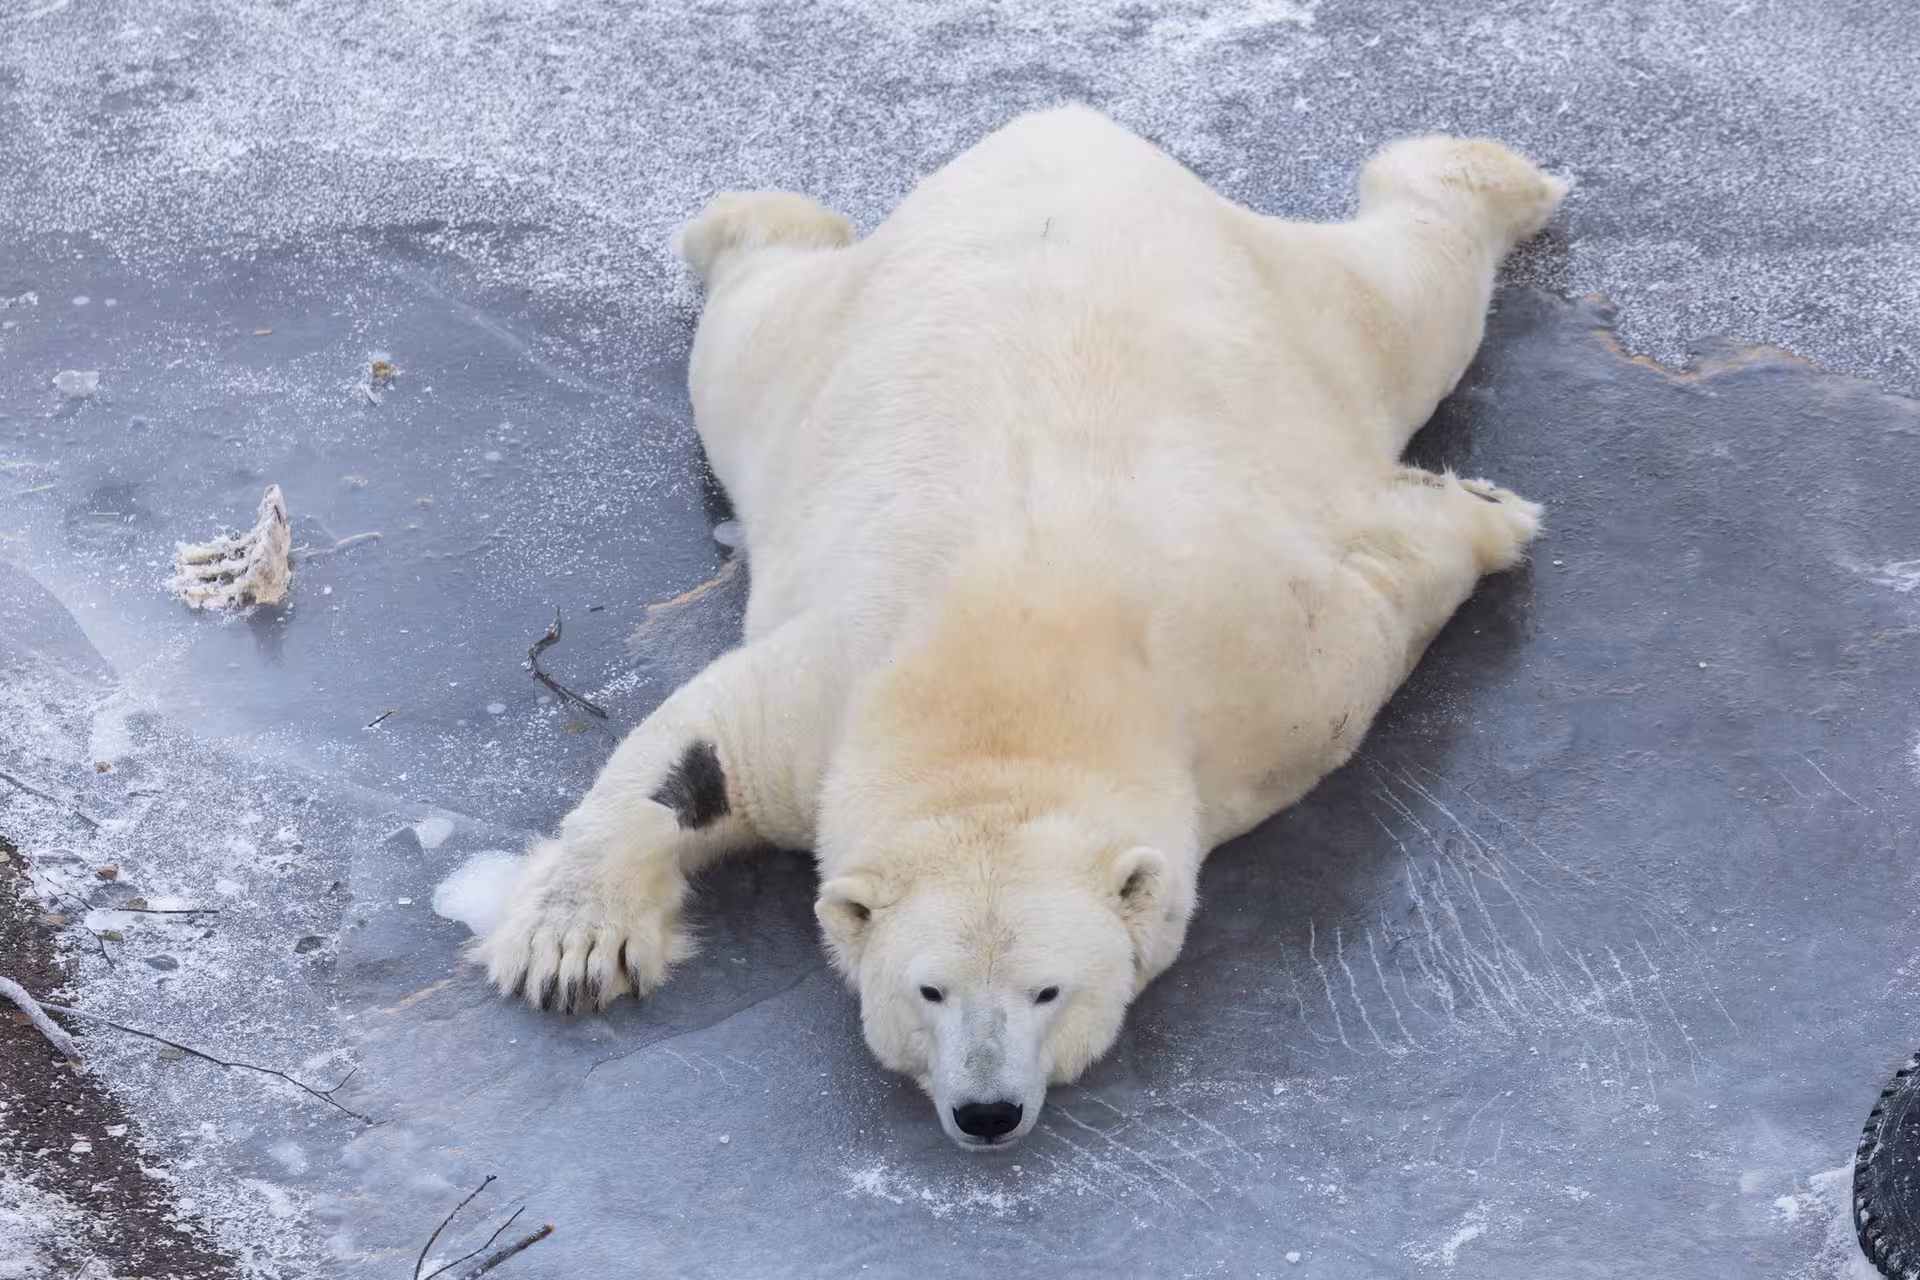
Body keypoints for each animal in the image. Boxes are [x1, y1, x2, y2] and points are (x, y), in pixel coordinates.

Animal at [474, 106, 1561, 1149]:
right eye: (930, 989)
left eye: (1048, 990)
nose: (987, 1110)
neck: (1009, 670)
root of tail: (1065, 132)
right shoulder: (833, 698)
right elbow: (699, 752)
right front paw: (572, 950)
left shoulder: (1285, 684)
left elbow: (1388, 582)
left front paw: (1482, 509)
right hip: (803, 365)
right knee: (745, 317)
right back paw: (741, 221)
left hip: (1300, 324)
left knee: (1414, 300)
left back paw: (1485, 175)